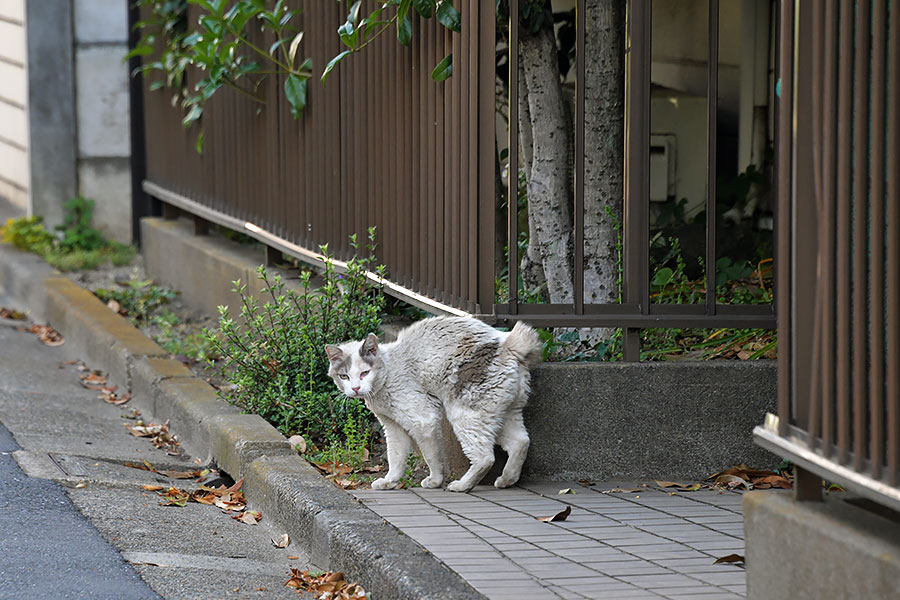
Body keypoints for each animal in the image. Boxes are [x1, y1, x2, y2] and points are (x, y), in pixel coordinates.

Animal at [328, 314, 540, 492]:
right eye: (344, 376)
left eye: (365, 373)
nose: (355, 388)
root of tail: (509, 344)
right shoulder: (393, 426)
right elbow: (395, 457)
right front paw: (390, 481)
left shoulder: (423, 421)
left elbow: (431, 456)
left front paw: (435, 481)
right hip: (502, 413)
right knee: (521, 442)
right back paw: (507, 480)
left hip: (466, 415)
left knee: (485, 457)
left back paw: (461, 485)